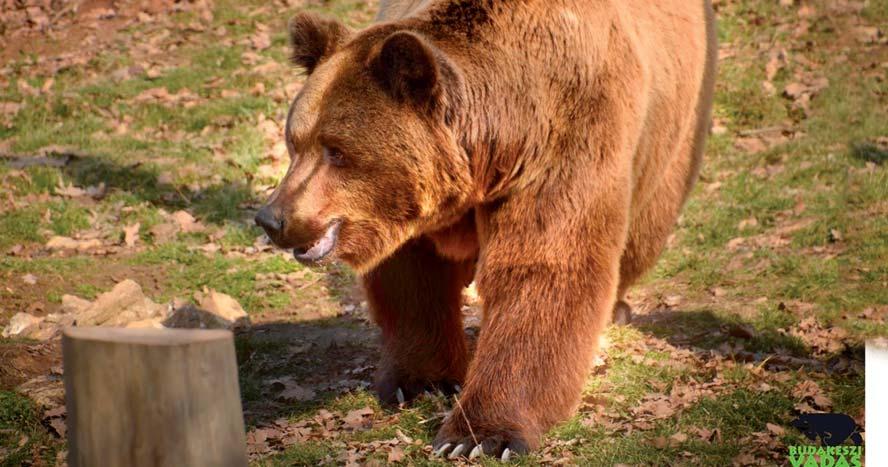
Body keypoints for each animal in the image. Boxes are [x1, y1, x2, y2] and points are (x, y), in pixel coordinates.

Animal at [255, 0, 716, 460]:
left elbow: (541, 270)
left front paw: (477, 437)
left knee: (643, 228)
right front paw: (421, 380)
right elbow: (413, 277)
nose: (272, 218)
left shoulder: (565, 140)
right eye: (296, 141)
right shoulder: (410, 210)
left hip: (674, 126)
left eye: (336, 150)